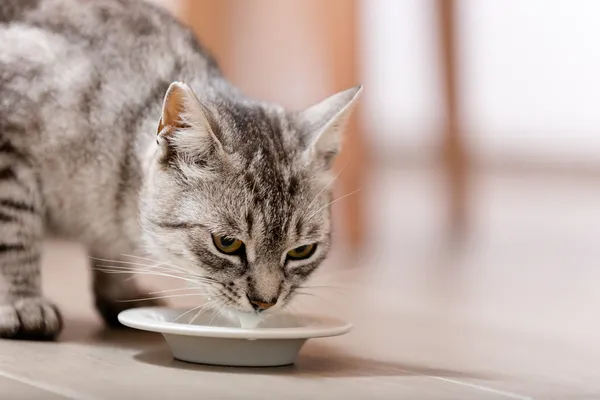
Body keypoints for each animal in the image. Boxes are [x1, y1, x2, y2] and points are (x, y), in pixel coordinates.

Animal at [0, 0, 360, 340]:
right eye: (226, 243)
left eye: (302, 251)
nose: (264, 303)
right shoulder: (10, 151)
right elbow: (16, 236)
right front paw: (21, 302)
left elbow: (111, 254)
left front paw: (121, 294)